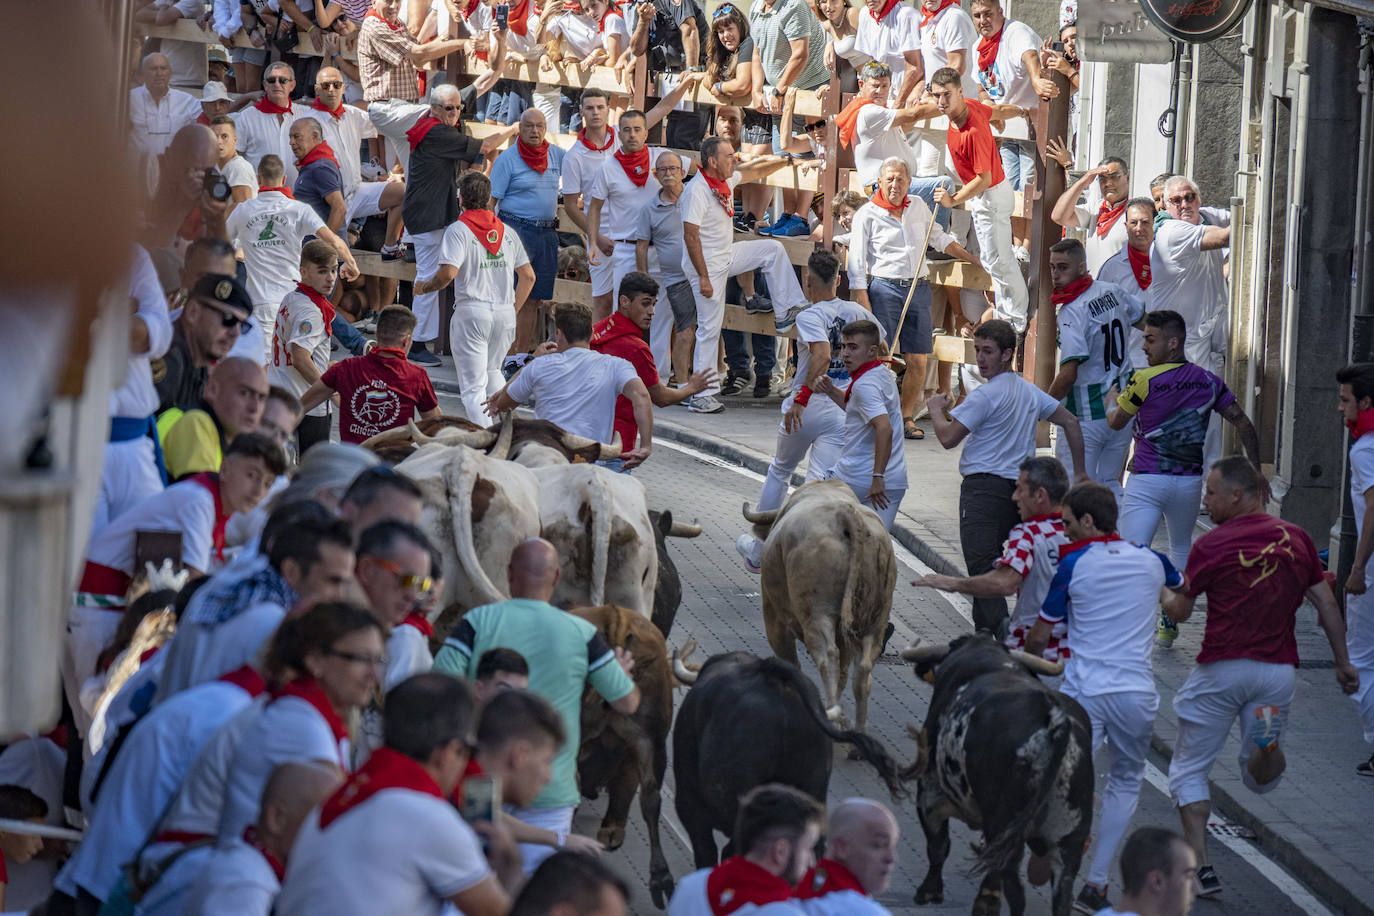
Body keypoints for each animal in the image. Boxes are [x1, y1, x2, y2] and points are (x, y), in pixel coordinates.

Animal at [741, 480, 901, 730]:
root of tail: (845, 513)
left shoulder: (774, 614)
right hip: (876, 620)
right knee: (862, 670)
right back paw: (856, 729)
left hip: (816, 614)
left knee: (827, 655)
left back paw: (830, 717)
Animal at [901, 634, 1093, 916]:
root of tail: (1054, 722)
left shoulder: (929, 790)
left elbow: (938, 844)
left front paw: (929, 891)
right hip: (1069, 836)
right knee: (1060, 895)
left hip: (1004, 823)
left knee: (1012, 886)